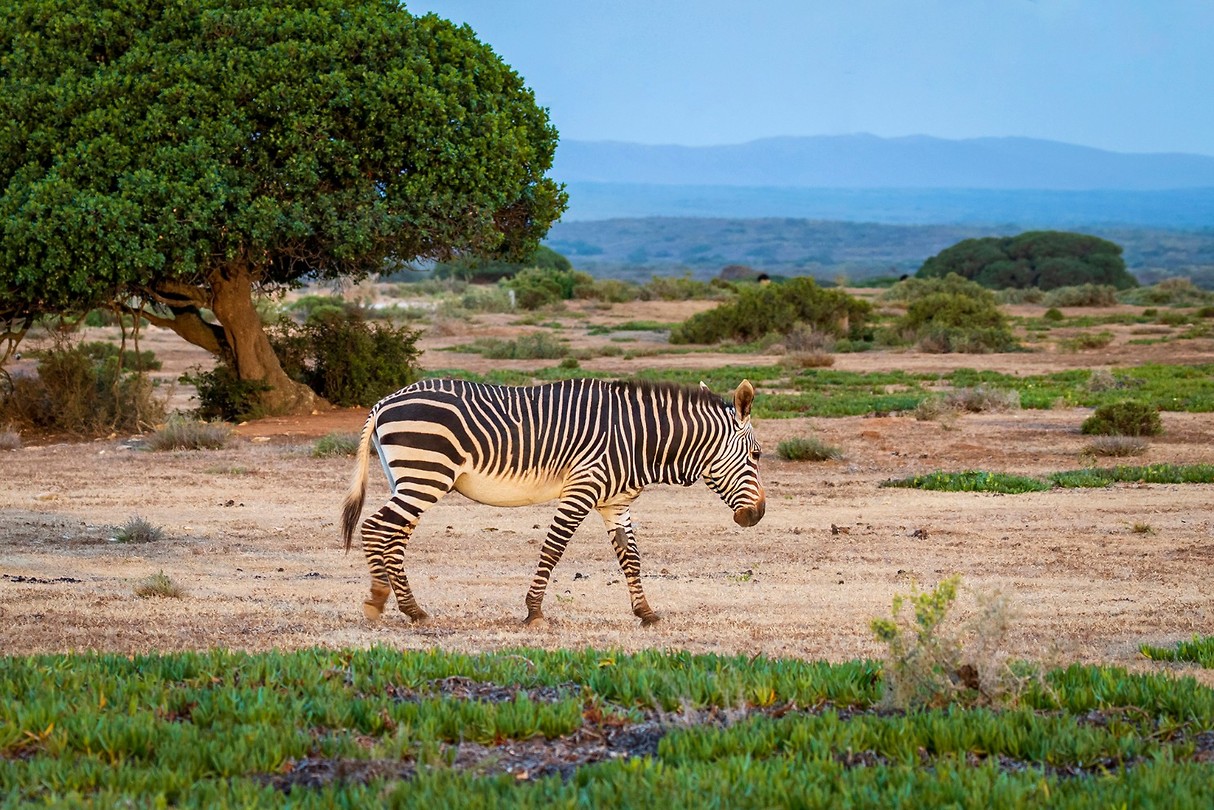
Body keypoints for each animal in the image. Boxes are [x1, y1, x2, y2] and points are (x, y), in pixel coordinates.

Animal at [341, 377, 766, 626]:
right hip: (425, 475)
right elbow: (553, 549)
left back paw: (412, 609)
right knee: (376, 527)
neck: (640, 439)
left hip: (411, 479)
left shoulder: (615, 503)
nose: (758, 515)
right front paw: (533, 612)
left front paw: (646, 612)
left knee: (394, 536)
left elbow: (630, 557)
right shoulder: (582, 489)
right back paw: (377, 600)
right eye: (757, 455)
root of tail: (385, 401)